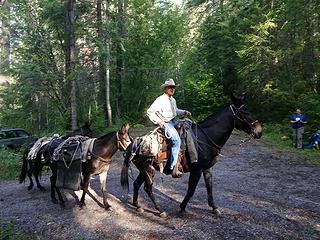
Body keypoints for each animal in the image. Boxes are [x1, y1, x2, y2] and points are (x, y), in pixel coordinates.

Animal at [121, 95, 264, 218]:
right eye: (244, 112)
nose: (259, 130)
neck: (205, 138)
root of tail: (135, 143)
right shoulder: (196, 170)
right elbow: (191, 190)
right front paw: (182, 207)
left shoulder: (207, 168)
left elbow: (209, 187)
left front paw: (214, 208)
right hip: (148, 169)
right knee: (148, 188)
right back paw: (160, 210)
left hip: (142, 170)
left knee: (136, 184)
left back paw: (138, 206)